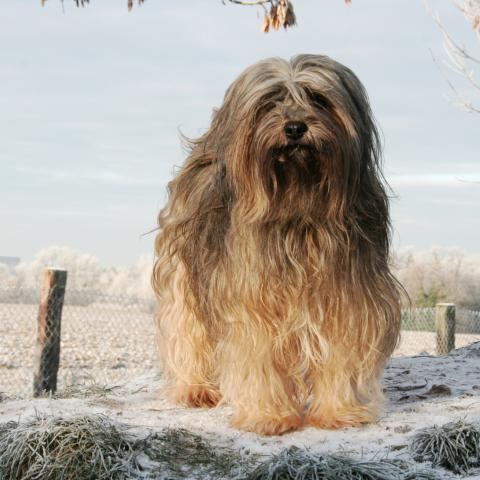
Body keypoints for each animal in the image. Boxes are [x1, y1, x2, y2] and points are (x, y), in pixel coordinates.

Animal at [153, 55, 402, 436]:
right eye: (269, 103)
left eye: (318, 99)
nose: (295, 128)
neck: (298, 211)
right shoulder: (249, 297)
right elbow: (258, 352)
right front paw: (268, 415)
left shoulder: (349, 293)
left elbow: (341, 347)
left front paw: (338, 412)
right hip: (184, 273)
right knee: (187, 326)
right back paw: (195, 388)